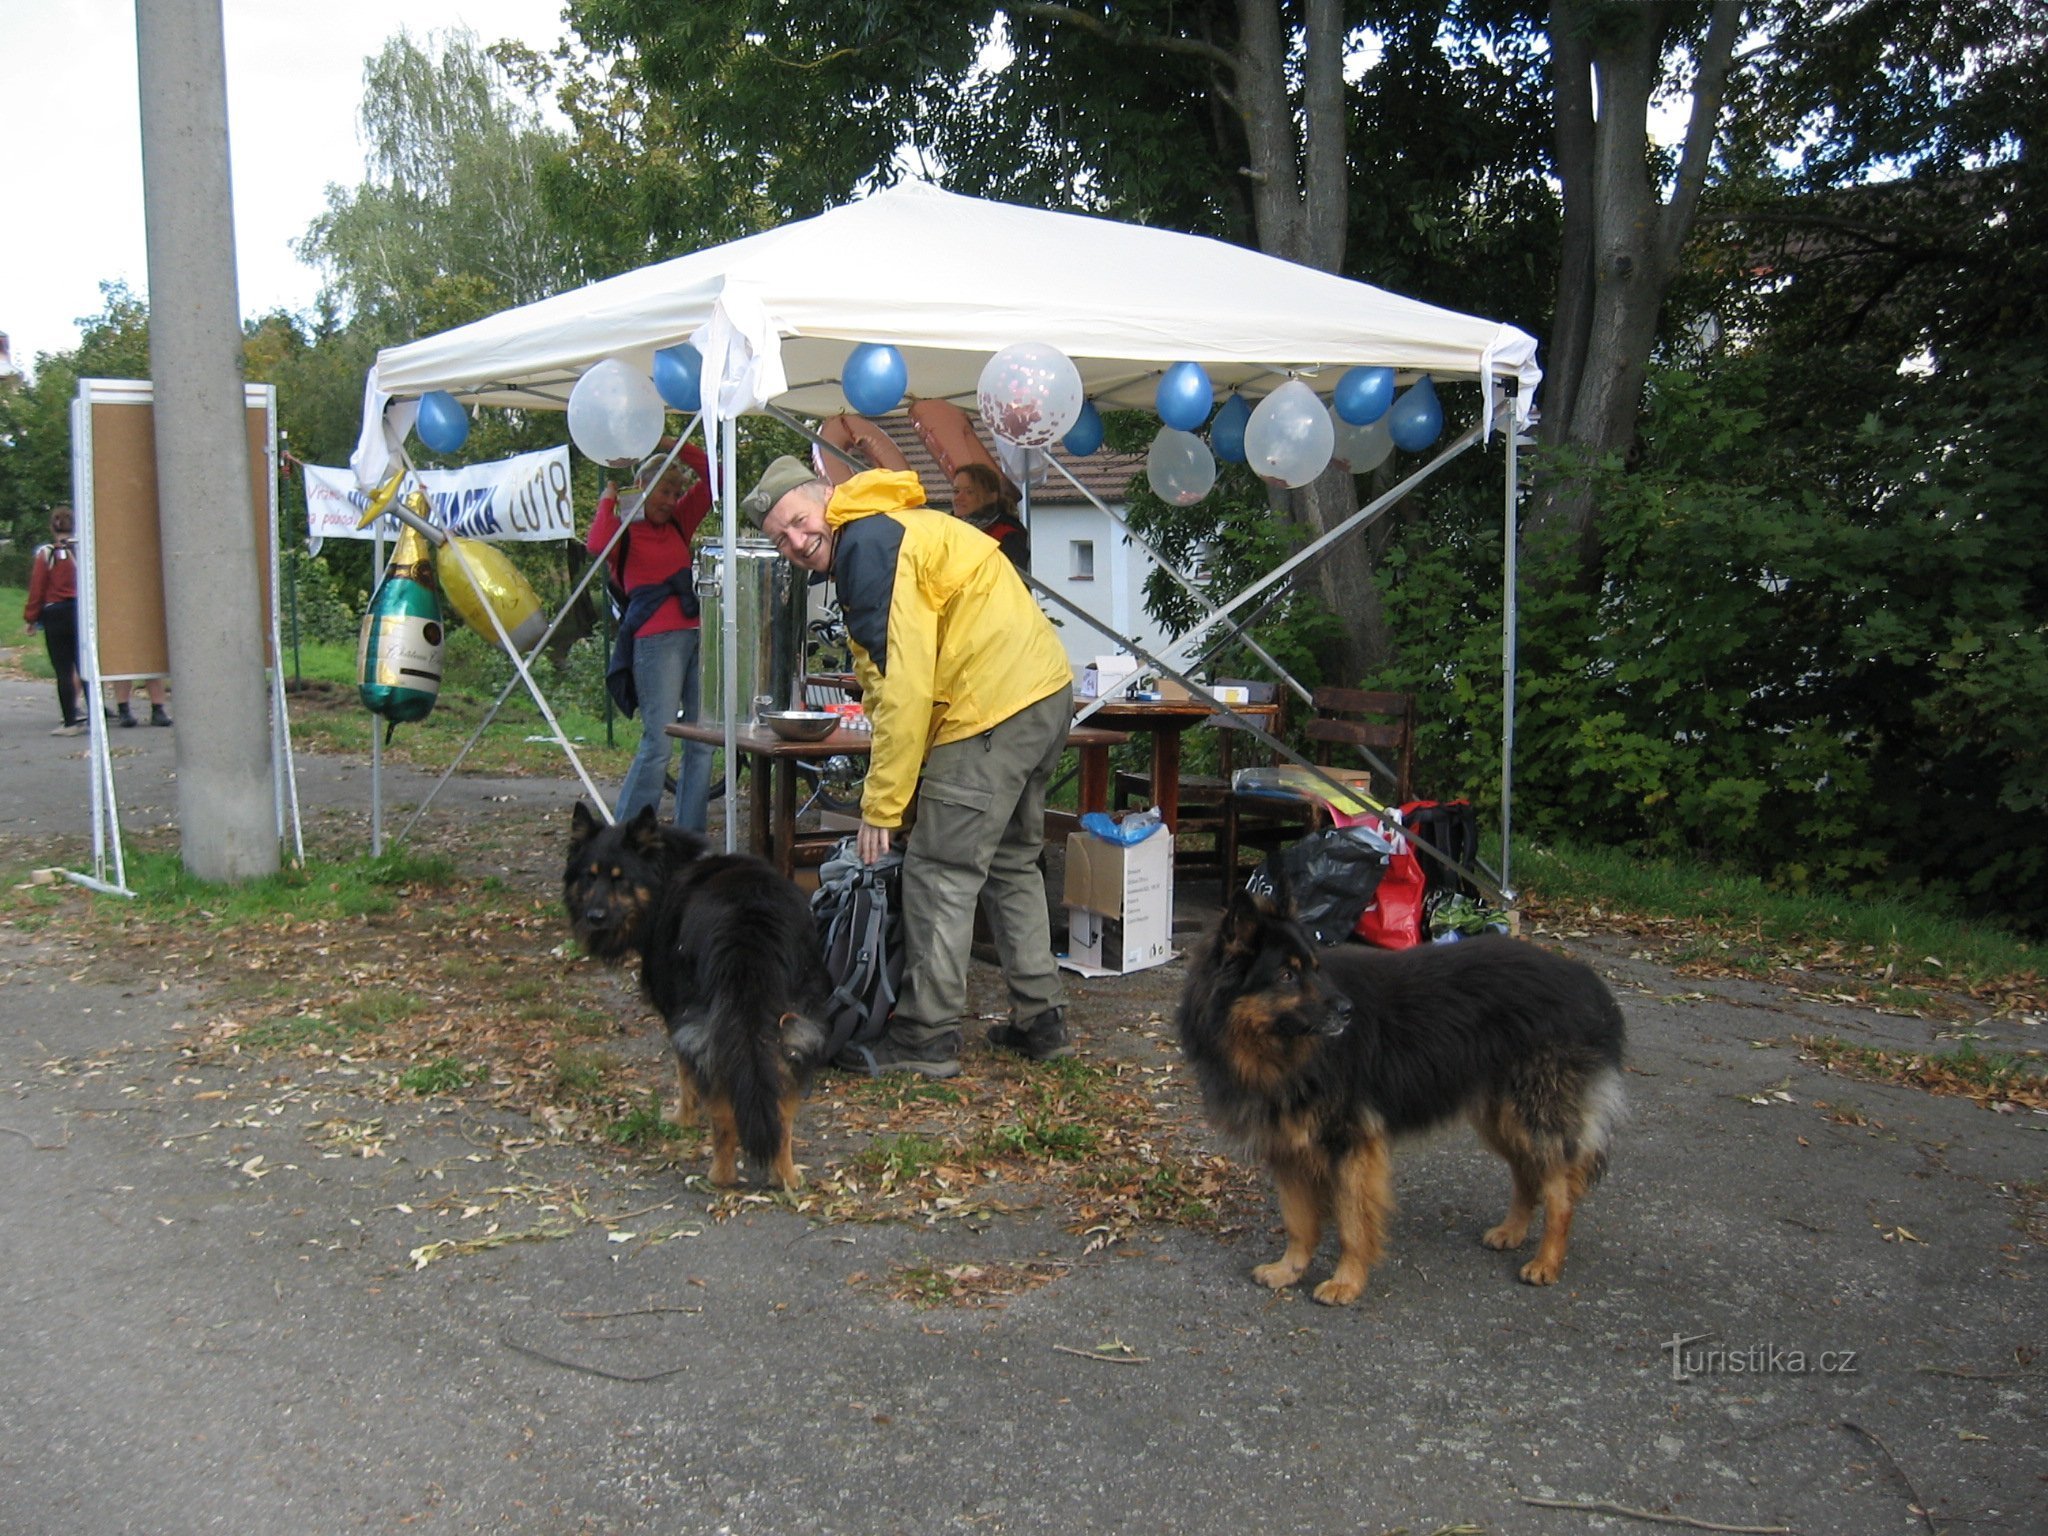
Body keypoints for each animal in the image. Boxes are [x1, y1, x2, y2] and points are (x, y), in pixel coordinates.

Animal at [565, 806, 827, 1187]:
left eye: (620, 879)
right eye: (590, 876)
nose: (594, 917)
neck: (666, 872)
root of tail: (750, 922)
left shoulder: (674, 1016)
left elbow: (684, 1078)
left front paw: (682, 1119)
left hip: (704, 1026)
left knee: (723, 1113)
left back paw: (720, 1175)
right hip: (791, 1026)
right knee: (783, 1106)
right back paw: (785, 1175)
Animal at [1179, 888, 1622, 1310]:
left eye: (1316, 968)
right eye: (1287, 974)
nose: (1348, 1011)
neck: (1281, 1053)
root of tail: (1585, 979)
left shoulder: (1352, 1148)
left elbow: (1352, 1223)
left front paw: (1346, 1282)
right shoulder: (1288, 1148)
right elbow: (1299, 1222)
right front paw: (1289, 1270)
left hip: (1533, 1115)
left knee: (1560, 1191)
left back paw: (1547, 1261)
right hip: (1502, 1118)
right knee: (1528, 1173)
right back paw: (1512, 1231)